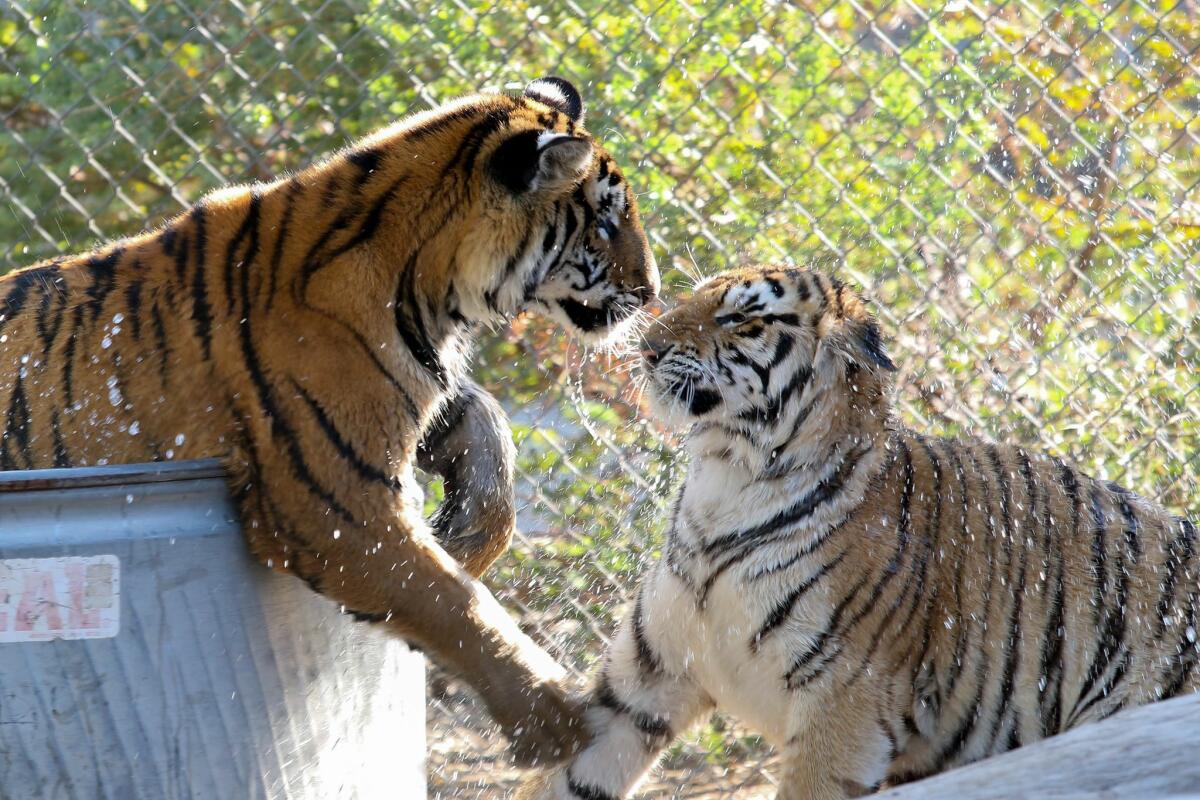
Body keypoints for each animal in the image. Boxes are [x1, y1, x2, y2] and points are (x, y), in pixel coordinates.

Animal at [0, 77, 667, 767]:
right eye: (605, 224)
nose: (651, 290)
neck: (431, 288)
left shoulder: (407, 400)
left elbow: (489, 434)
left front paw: (462, 539)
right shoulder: (331, 496)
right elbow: (448, 601)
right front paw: (554, 719)